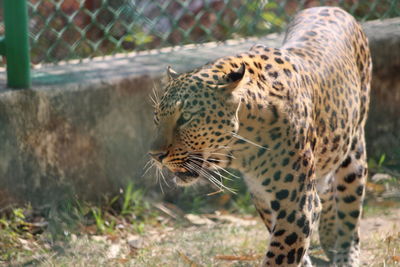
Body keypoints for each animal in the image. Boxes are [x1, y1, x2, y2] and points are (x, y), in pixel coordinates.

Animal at [148, 6, 372, 267]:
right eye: (156, 117)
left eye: (186, 117)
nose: (155, 155)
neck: (243, 148)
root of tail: (332, 7)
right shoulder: (263, 197)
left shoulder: (296, 203)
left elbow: (282, 253)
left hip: (354, 153)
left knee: (349, 212)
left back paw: (345, 253)